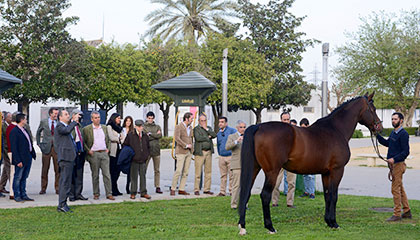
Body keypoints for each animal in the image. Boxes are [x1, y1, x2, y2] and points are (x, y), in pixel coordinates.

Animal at [238, 93, 382, 235]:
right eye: (373, 109)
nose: (379, 127)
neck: (336, 130)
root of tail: (258, 126)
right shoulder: (337, 170)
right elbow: (334, 196)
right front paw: (334, 223)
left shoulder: (326, 173)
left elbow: (327, 196)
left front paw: (328, 222)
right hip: (272, 171)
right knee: (265, 195)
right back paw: (270, 227)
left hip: (254, 168)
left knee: (246, 193)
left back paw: (242, 227)